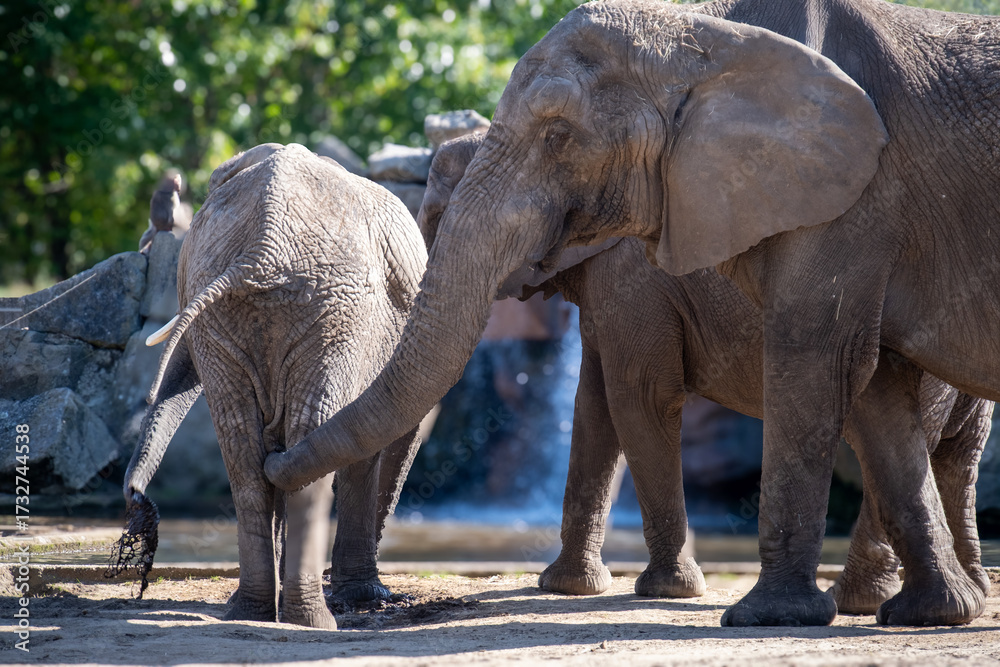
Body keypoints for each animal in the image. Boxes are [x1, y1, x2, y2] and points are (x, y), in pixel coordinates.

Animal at [118, 143, 427, 629]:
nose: (135, 495)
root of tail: (265, 246)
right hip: (320, 311)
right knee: (274, 445)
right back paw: (308, 618)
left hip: (309, 310)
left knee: (250, 450)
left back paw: (261, 611)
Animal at [419, 132, 993, 615]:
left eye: (438, 215)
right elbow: (593, 408)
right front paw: (566, 587)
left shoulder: (635, 276)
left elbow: (639, 399)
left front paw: (666, 590)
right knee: (955, 452)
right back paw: (965, 591)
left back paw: (858, 602)